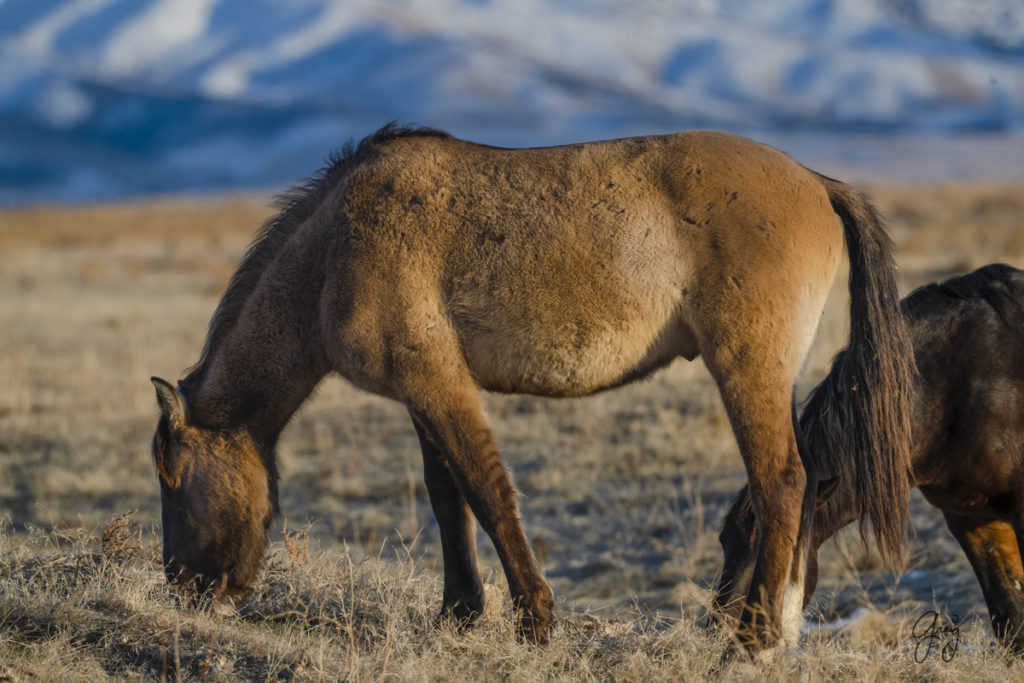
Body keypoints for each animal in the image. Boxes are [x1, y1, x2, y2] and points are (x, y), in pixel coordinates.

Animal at [149, 122, 913, 651]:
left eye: (171, 476)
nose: (183, 588)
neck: (336, 247)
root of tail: (815, 181)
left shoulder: (439, 386)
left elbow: (487, 493)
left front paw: (534, 621)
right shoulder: (422, 396)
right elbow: (448, 498)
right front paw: (460, 614)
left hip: (747, 371)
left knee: (782, 482)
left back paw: (752, 637)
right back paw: (773, 627)